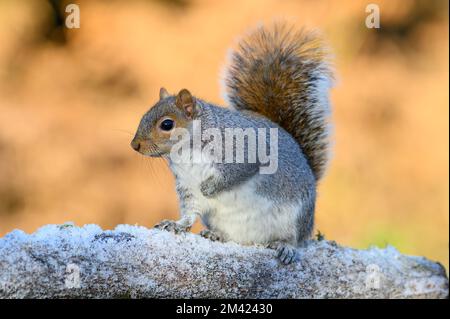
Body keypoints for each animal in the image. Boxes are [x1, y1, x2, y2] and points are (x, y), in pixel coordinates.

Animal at [130, 23, 334, 264]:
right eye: (144, 115)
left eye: (167, 124)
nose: (135, 145)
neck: (187, 151)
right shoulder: (187, 185)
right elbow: (190, 213)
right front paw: (176, 224)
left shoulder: (245, 153)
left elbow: (236, 173)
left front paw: (210, 188)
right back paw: (216, 235)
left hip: (296, 216)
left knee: (295, 238)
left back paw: (286, 247)